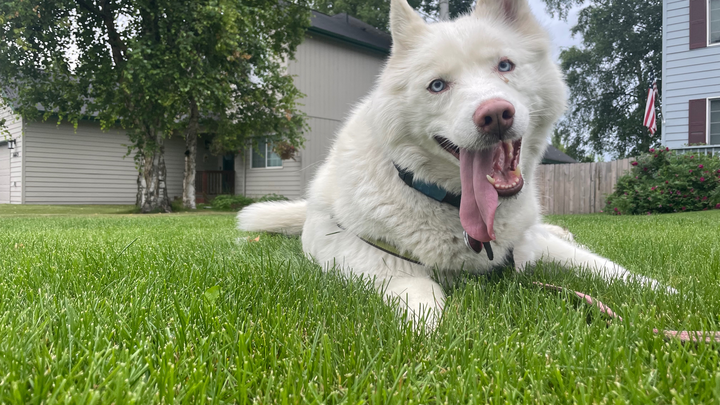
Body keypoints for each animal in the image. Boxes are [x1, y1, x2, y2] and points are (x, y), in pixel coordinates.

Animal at [238, 0, 668, 325]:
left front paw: (667, 292)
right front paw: (431, 332)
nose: (495, 115)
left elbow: (607, 269)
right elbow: (419, 291)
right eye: (437, 85)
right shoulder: (364, 259)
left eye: (505, 65)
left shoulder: (532, 247)